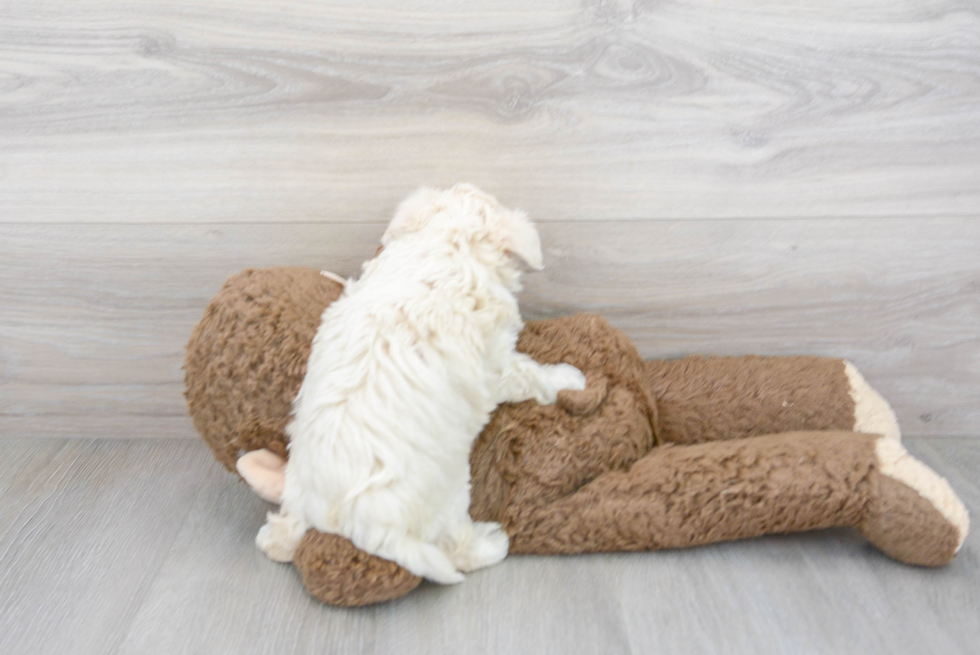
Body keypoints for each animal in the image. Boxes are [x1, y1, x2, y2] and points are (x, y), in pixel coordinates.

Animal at [256, 183, 584, 584]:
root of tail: (355, 522)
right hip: (448, 493)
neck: (444, 244)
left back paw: (277, 538)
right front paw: (568, 378)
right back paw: (491, 544)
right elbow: (530, 373)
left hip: (300, 493)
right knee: (455, 546)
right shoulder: (496, 364)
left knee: (285, 532)